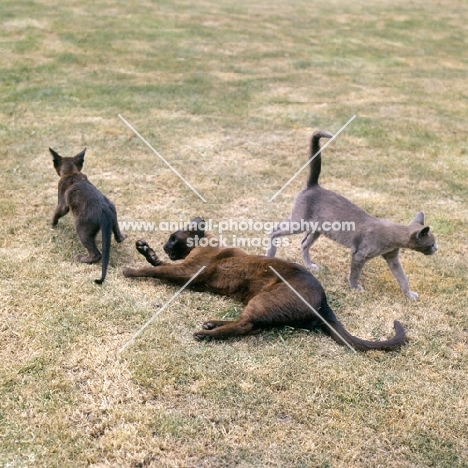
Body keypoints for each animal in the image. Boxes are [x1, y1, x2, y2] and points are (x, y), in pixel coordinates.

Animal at [49, 148, 126, 284]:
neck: (71, 172)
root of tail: (104, 212)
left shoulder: (62, 204)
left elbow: (57, 213)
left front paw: (52, 223)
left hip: (82, 229)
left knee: (96, 254)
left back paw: (81, 258)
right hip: (114, 216)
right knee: (118, 236)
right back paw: (122, 236)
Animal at [123, 219, 406, 352]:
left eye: (173, 238)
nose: (164, 246)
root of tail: (324, 301)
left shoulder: (187, 272)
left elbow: (154, 270)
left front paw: (130, 270)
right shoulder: (183, 270)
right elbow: (157, 265)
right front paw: (145, 249)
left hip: (262, 300)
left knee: (245, 326)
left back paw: (206, 334)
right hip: (257, 301)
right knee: (248, 324)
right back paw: (211, 324)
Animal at [266, 132, 438, 300]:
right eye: (431, 244)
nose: (436, 249)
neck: (393, 235)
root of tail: (314, 185)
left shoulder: (392, 257)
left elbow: (402, 277)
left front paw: (409, 294)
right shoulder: (359, 255)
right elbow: (355, 273)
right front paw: (355, 287)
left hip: (317, 229)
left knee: (303, 243)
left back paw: (309, 266)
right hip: (299, 222)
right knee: (274, 230)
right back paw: (270, 254)